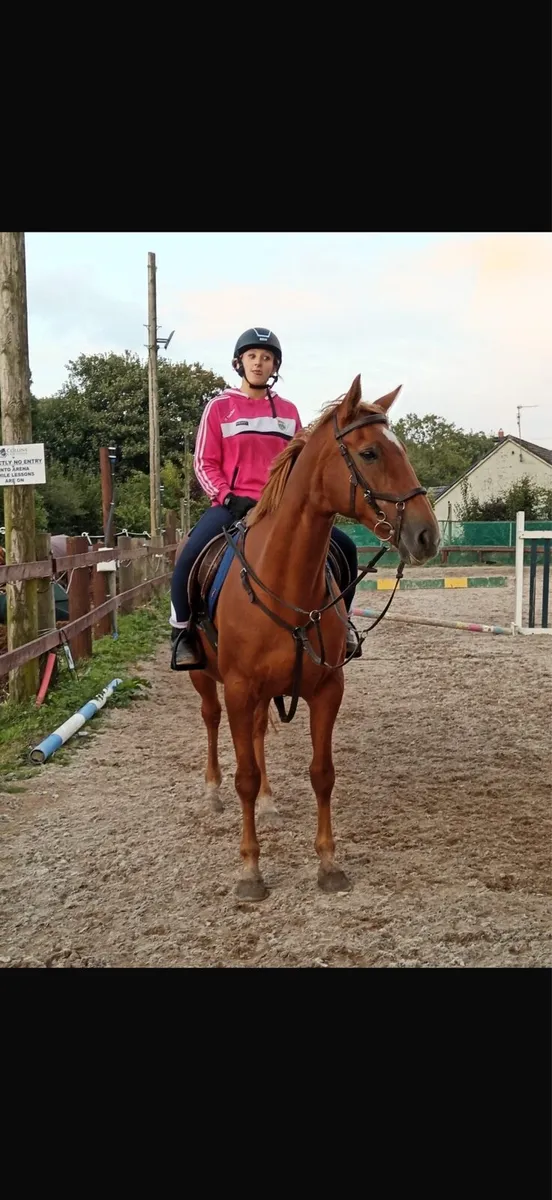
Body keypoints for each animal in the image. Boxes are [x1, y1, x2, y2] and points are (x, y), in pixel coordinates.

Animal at [178, 375, 441, 901]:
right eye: (369, 453)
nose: (427, 535)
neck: (285, 582)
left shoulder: (326, 690)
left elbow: (322, 774)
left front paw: (328, 863)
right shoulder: (238, 689)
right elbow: (243, 777)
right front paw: (250, 871)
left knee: (258, 735)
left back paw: (270, 802)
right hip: (208, 681)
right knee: (211, 722)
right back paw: (212, 792)